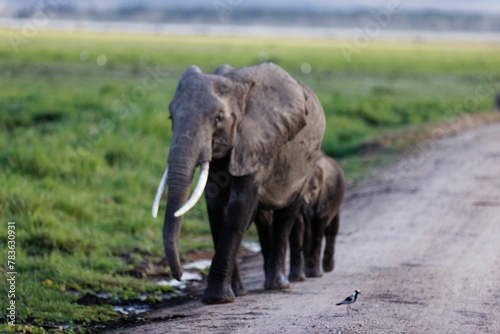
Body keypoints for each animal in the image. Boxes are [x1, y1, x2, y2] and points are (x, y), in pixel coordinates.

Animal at [150, 63, 326, 306]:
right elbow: (216, 207)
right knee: (264, 219)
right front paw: (234, 293)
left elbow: (240, 206)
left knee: (285, 216)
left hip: (305, 164)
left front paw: (218, 299)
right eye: (170, 117)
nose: (179, 276)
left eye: (218, 118)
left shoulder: (256, 141)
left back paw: (278, 285)